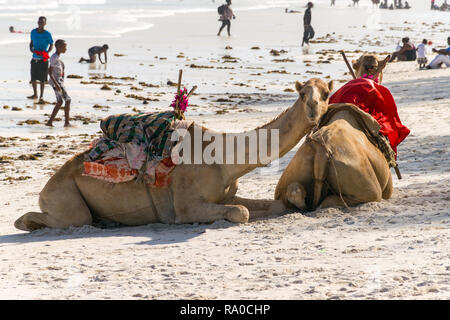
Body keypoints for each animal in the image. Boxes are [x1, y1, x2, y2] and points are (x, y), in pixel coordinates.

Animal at [14, 78, 334, 231]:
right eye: (302, 94)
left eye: (325, 94)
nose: (313, 110)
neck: (223, 158)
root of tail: (46, 187)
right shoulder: (185, 206)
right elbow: (240, 213)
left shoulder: (224, 194)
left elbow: (271, 206)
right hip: (65, 196)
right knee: (55, 218)